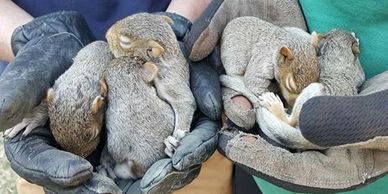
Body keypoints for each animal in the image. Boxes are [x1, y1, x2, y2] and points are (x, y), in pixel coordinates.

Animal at [105, 12, 197, 156]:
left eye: (125, 42)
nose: (106, 34)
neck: (160, 62)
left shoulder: (170, 81)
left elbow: (185, 101)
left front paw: (176, 136)